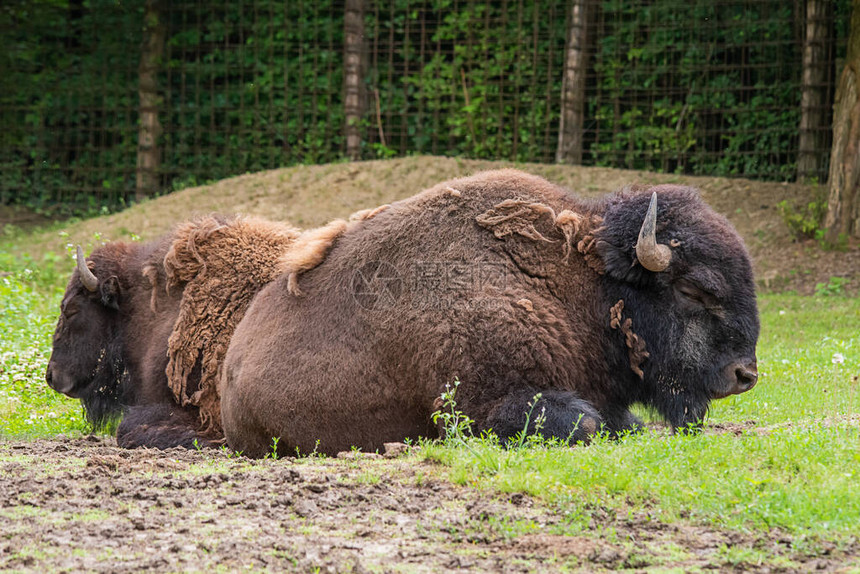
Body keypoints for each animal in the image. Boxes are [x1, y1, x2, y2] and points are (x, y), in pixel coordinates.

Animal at [222, 170, 760, 460]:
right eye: (693, 290)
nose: (745, 374)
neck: (581, 284)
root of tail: (230, 367)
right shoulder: (487, 403)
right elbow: (585, 425)